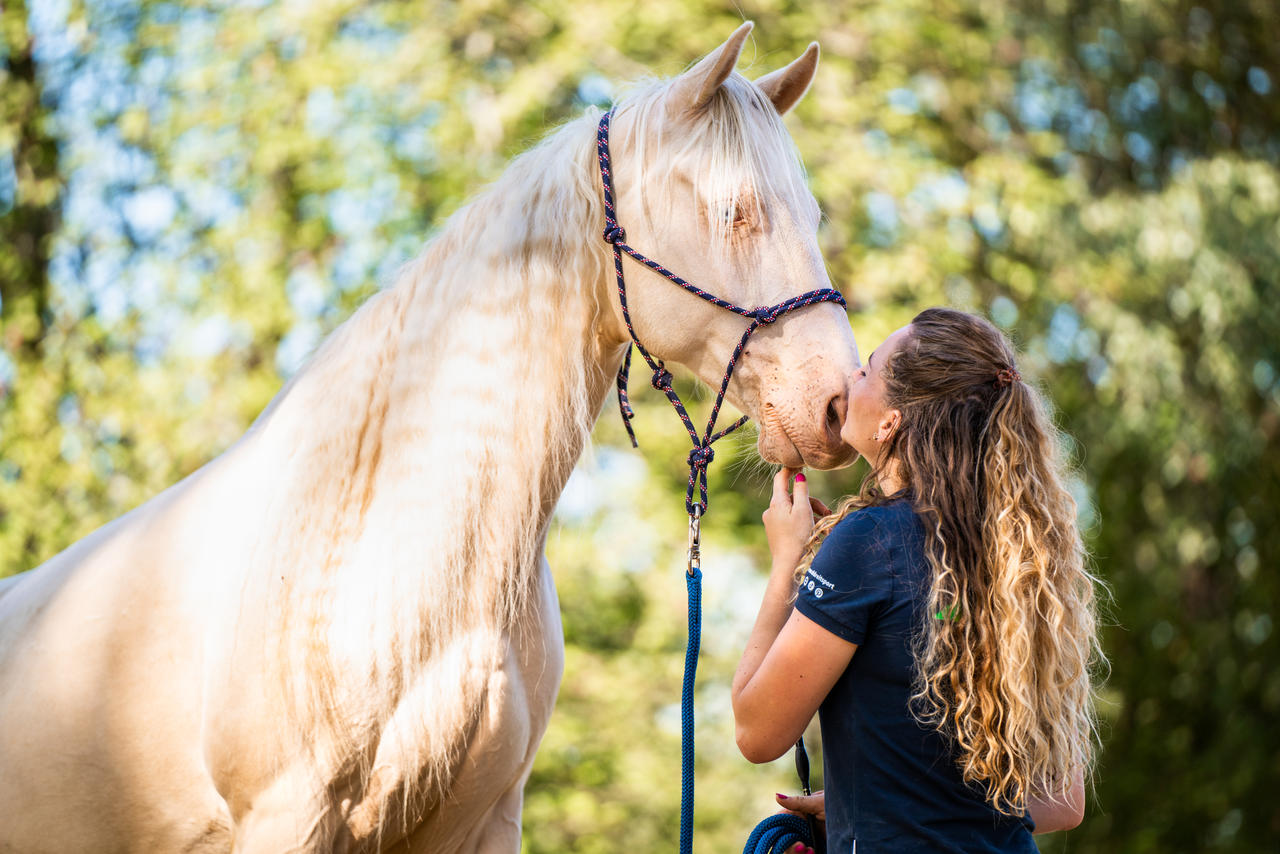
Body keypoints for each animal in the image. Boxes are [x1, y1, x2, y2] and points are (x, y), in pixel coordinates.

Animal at [2, 21, 860, 854]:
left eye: (811, 217)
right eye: (734, 211)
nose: (835, 403)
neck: (384, 544)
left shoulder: (486, 821)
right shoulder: (288, 817)